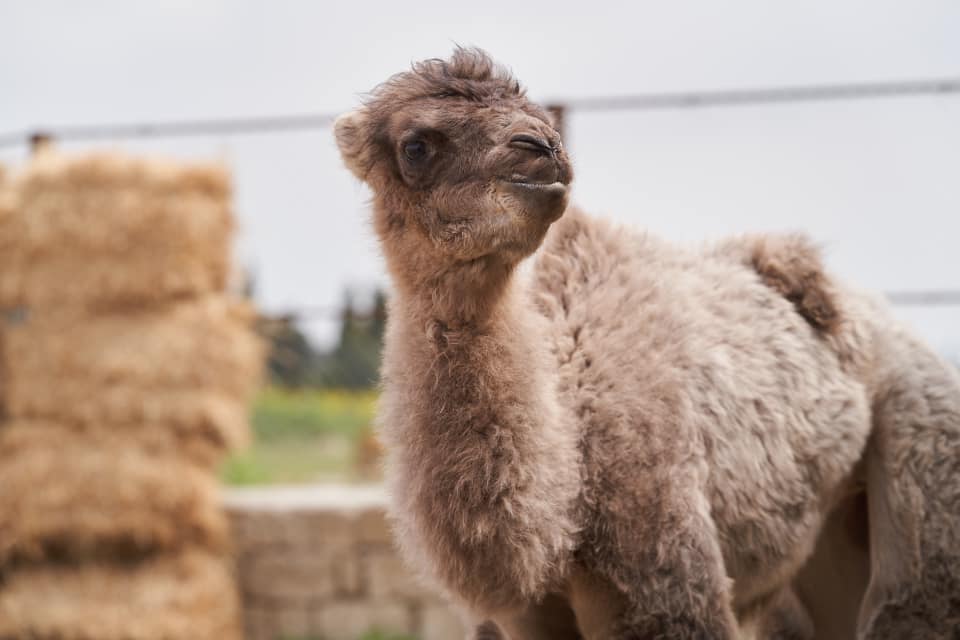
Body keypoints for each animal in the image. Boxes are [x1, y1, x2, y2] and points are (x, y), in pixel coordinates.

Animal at [334, 47, 956, 636]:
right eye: (416, 145)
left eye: (542, 117)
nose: (541, 149)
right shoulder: (510, 618)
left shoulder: (663, 567)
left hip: (920, 439)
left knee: (908, 604)